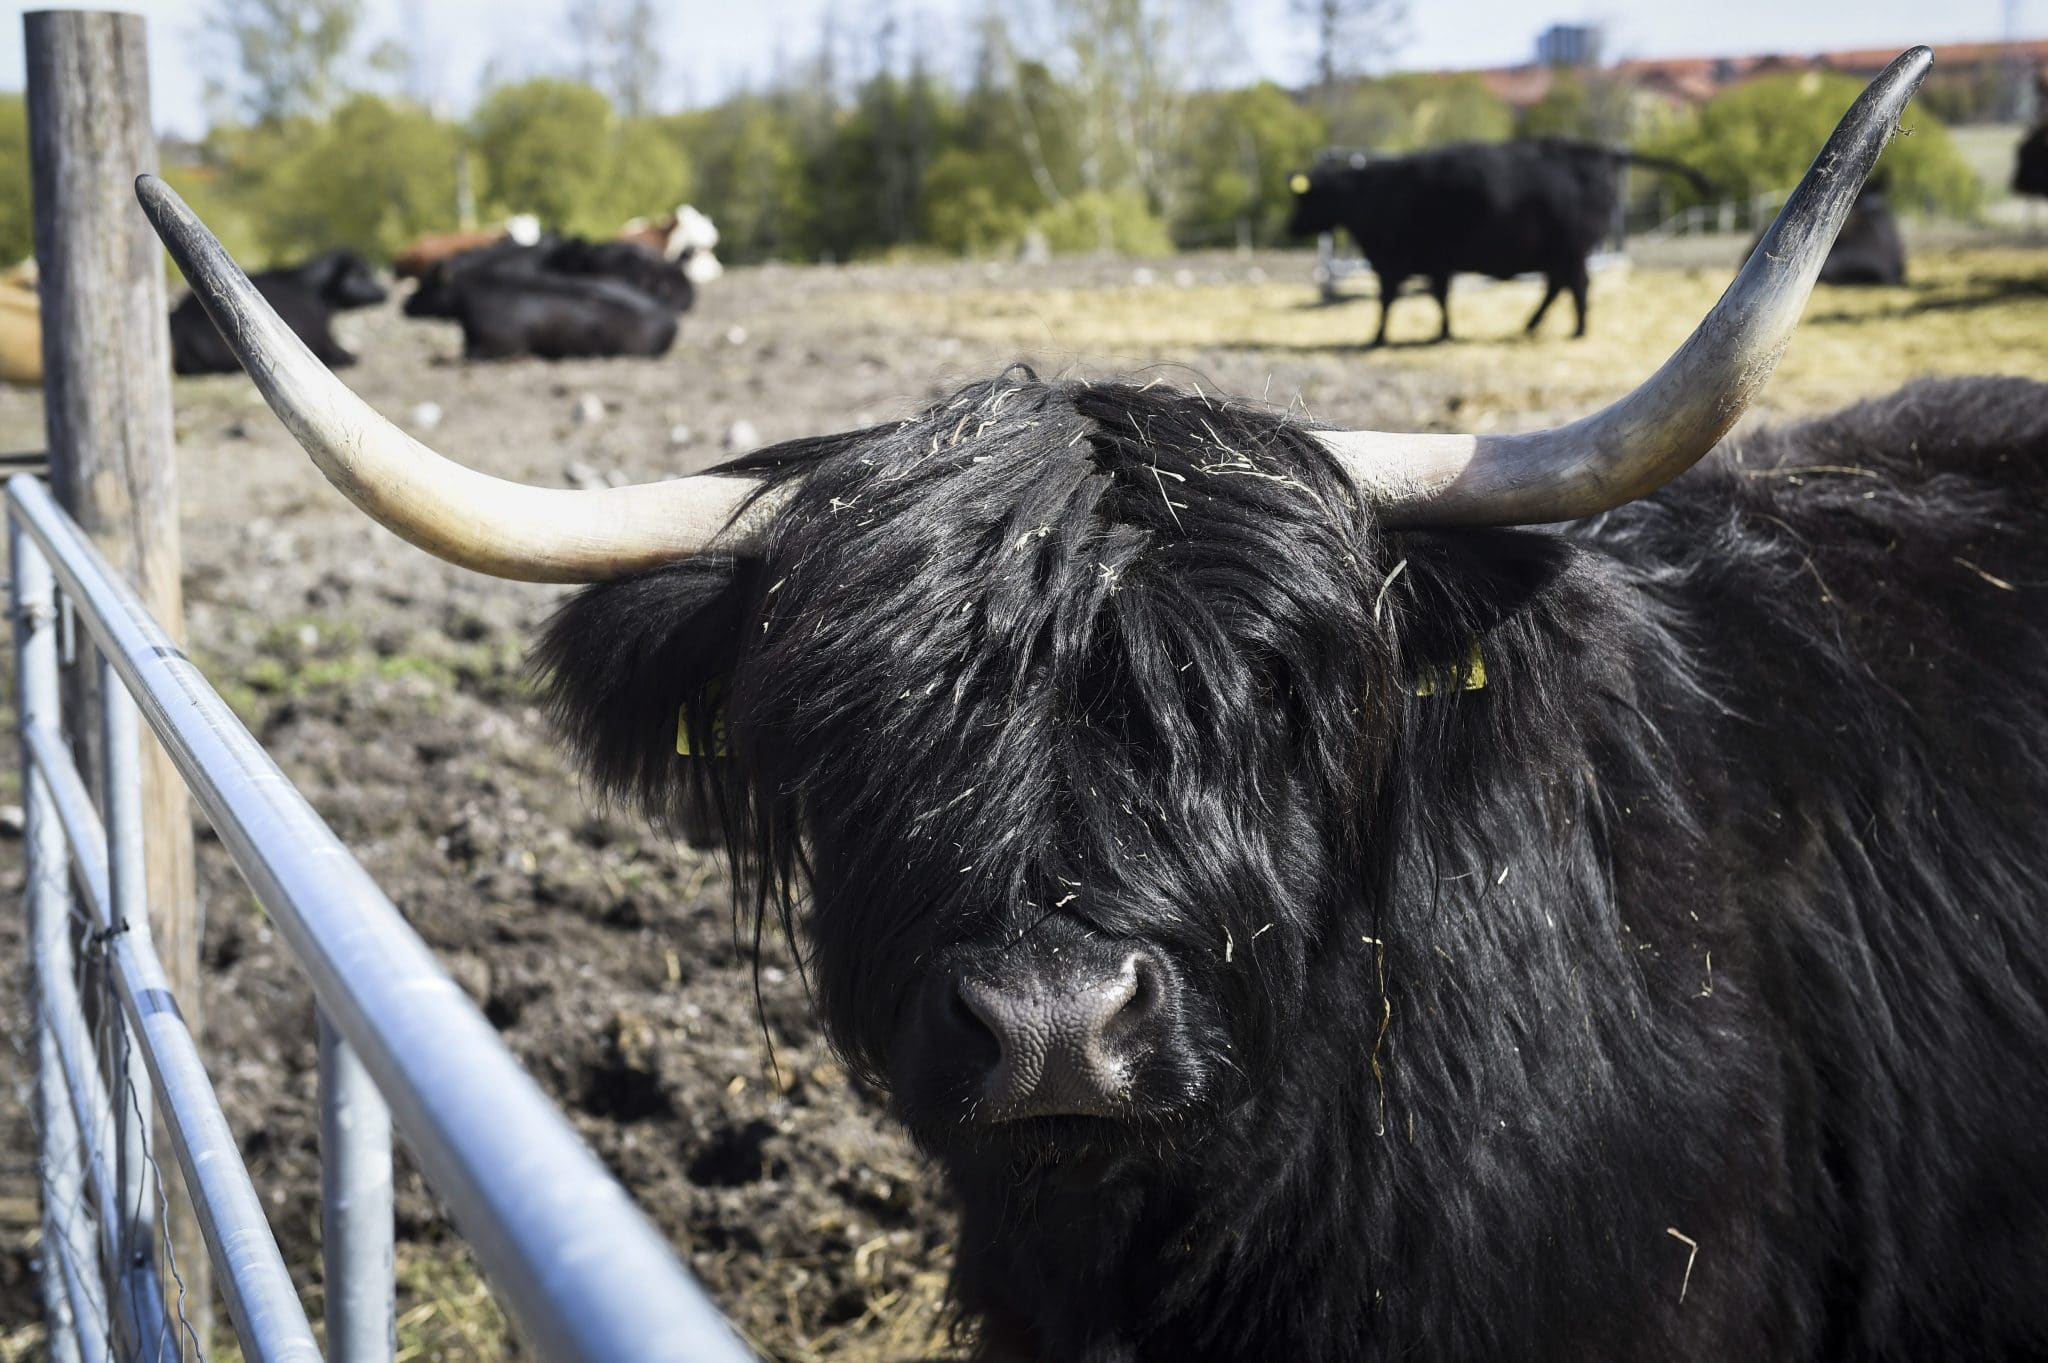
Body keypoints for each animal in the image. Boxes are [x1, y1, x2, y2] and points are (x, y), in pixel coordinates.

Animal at [1294, 138, 1712, 345]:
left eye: (1305, 198)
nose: (1291, 225)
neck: (1373, 194)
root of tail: (1588, 150)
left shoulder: (1395, 262)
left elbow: (1389, 301)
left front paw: (1378, 338)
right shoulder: (1434, 263)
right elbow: (1439, 298)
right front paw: (1444, 332)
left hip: (1571, 249)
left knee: (1576, 286)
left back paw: (1576, 330)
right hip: (1559, 253)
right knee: (1558, 286)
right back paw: (1531, 325)